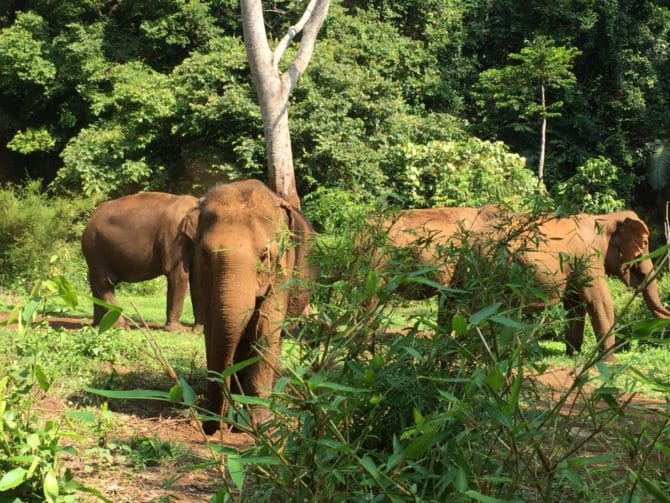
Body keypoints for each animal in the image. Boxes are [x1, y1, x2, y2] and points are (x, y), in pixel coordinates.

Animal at [80, 192, 205, 330]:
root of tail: (92, 215)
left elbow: (197, 278)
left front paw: (198, 330)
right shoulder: (174, 237)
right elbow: (178, 275)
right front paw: (178, 330)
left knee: (94, 281)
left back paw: (98, 324)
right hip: (94, 247)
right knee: (104, 282)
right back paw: (121, 326)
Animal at [182, 179, 318, 436]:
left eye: (265, 254)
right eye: (205, 253)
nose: (213, 426)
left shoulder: (282, 271)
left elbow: (265, 327)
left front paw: (257, 423)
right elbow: (213, 328)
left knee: (276, 337)